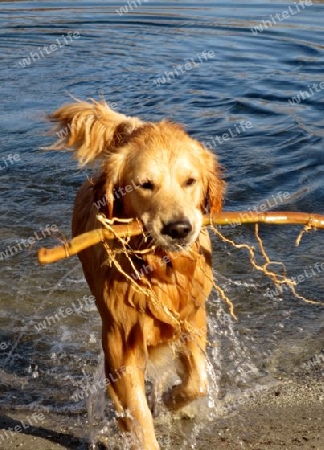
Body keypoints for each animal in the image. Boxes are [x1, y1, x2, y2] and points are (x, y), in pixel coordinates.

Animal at [48, 101, 224, 450]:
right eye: (145, 184)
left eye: (190, 181)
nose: (178, 229)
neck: (159, 268)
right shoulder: (120, 340)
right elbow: (138, 414)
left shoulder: (193, 319)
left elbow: (197, 380)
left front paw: (172, 401)